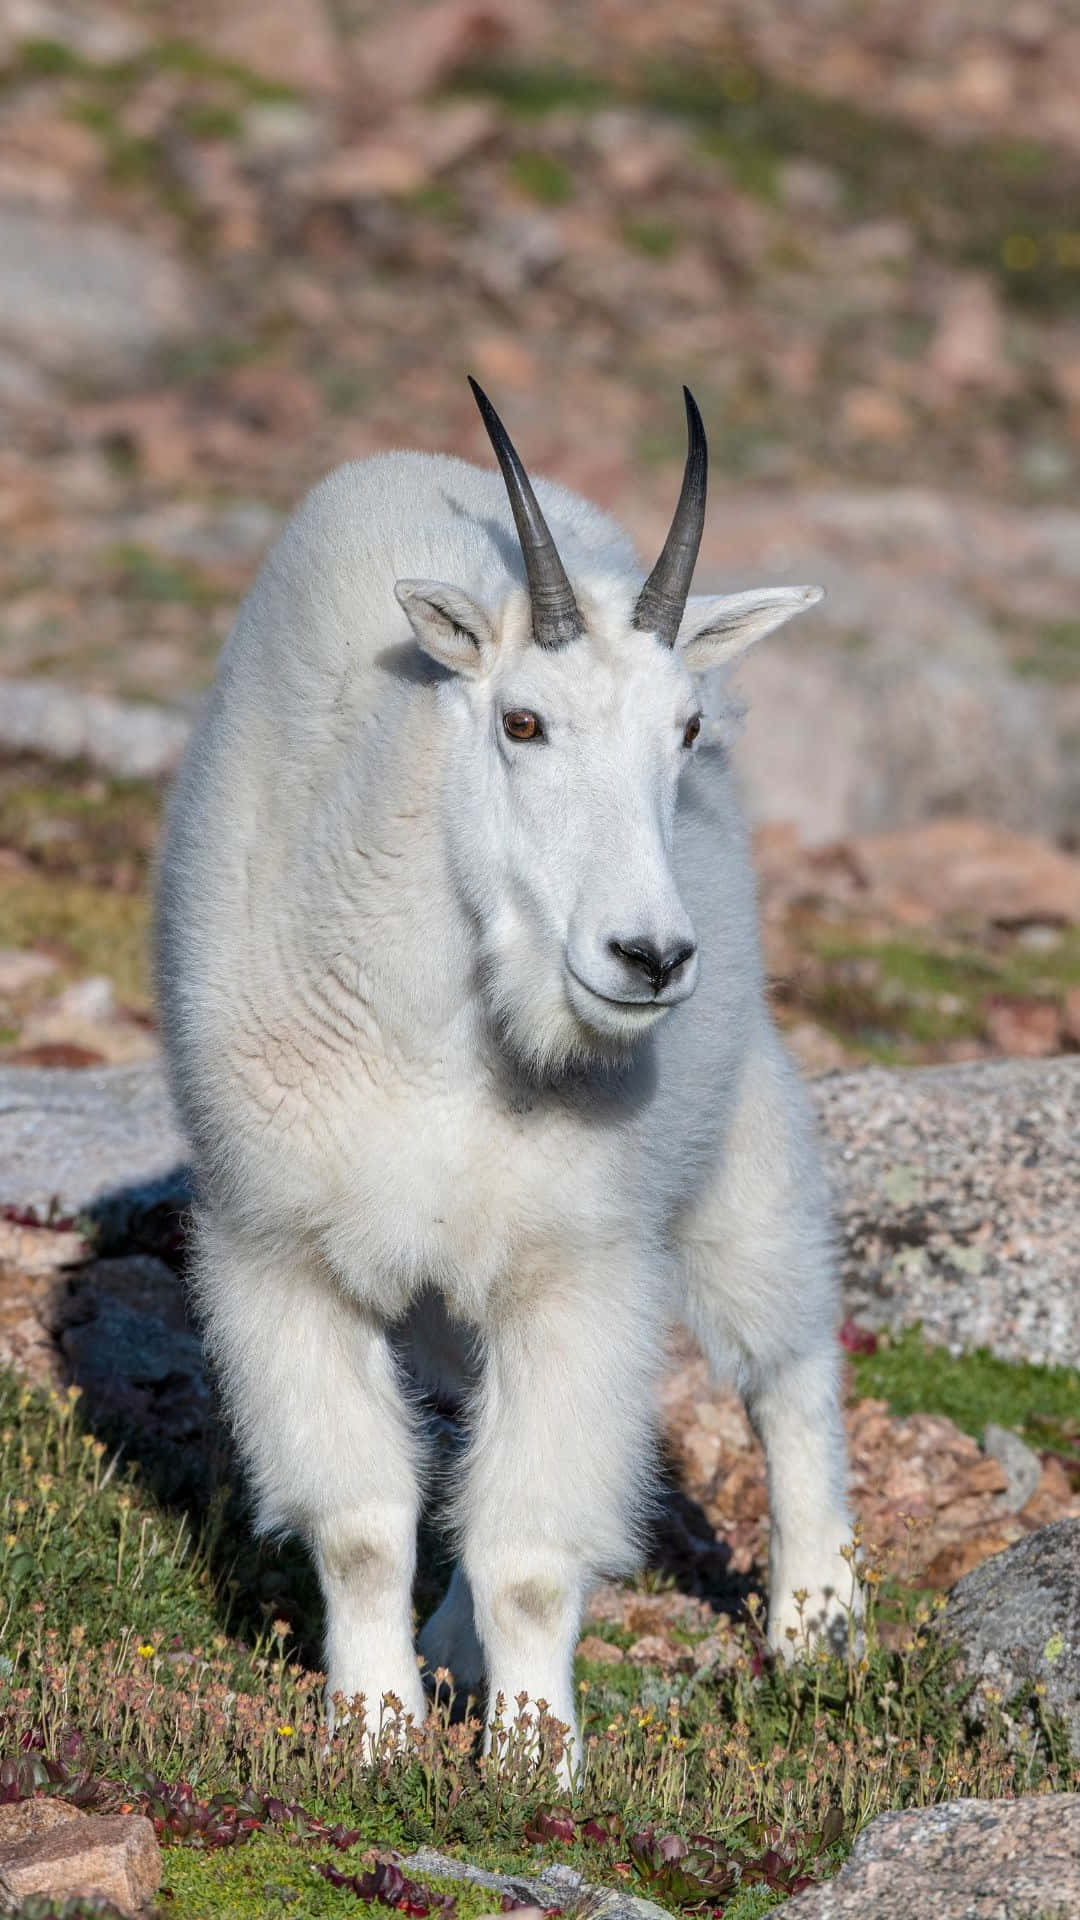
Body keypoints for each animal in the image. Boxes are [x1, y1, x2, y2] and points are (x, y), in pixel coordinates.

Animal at [155, 379, 856, 1771]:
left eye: (686, 729)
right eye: (523, 722)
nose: (648, 957)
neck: (442, 1026)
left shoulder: (573, 1267)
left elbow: (532, 1555)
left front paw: (537, 1761)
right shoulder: (283, 1255)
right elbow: (363, 1527)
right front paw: (375, 1736)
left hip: (738, 1122)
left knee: (786, 1355)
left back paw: (817, 1622)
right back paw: (449, 1655)